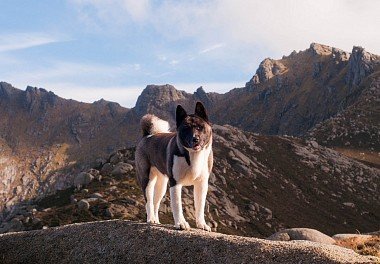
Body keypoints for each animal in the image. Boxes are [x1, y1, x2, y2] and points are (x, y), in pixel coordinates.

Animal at [135, 102, 212, 230]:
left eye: (200, 127)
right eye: (186, 128)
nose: (195, 139)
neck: (192, 155)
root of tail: (147, 136)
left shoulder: (201, 184)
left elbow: (200, 206)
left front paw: (202, 224)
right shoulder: (175, 183)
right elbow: (177, 205)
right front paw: (181, 223)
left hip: (162, 184)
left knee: (155, 202)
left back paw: (156, 221)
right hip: (147, 180)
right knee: (149, 201)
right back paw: (151, 219)